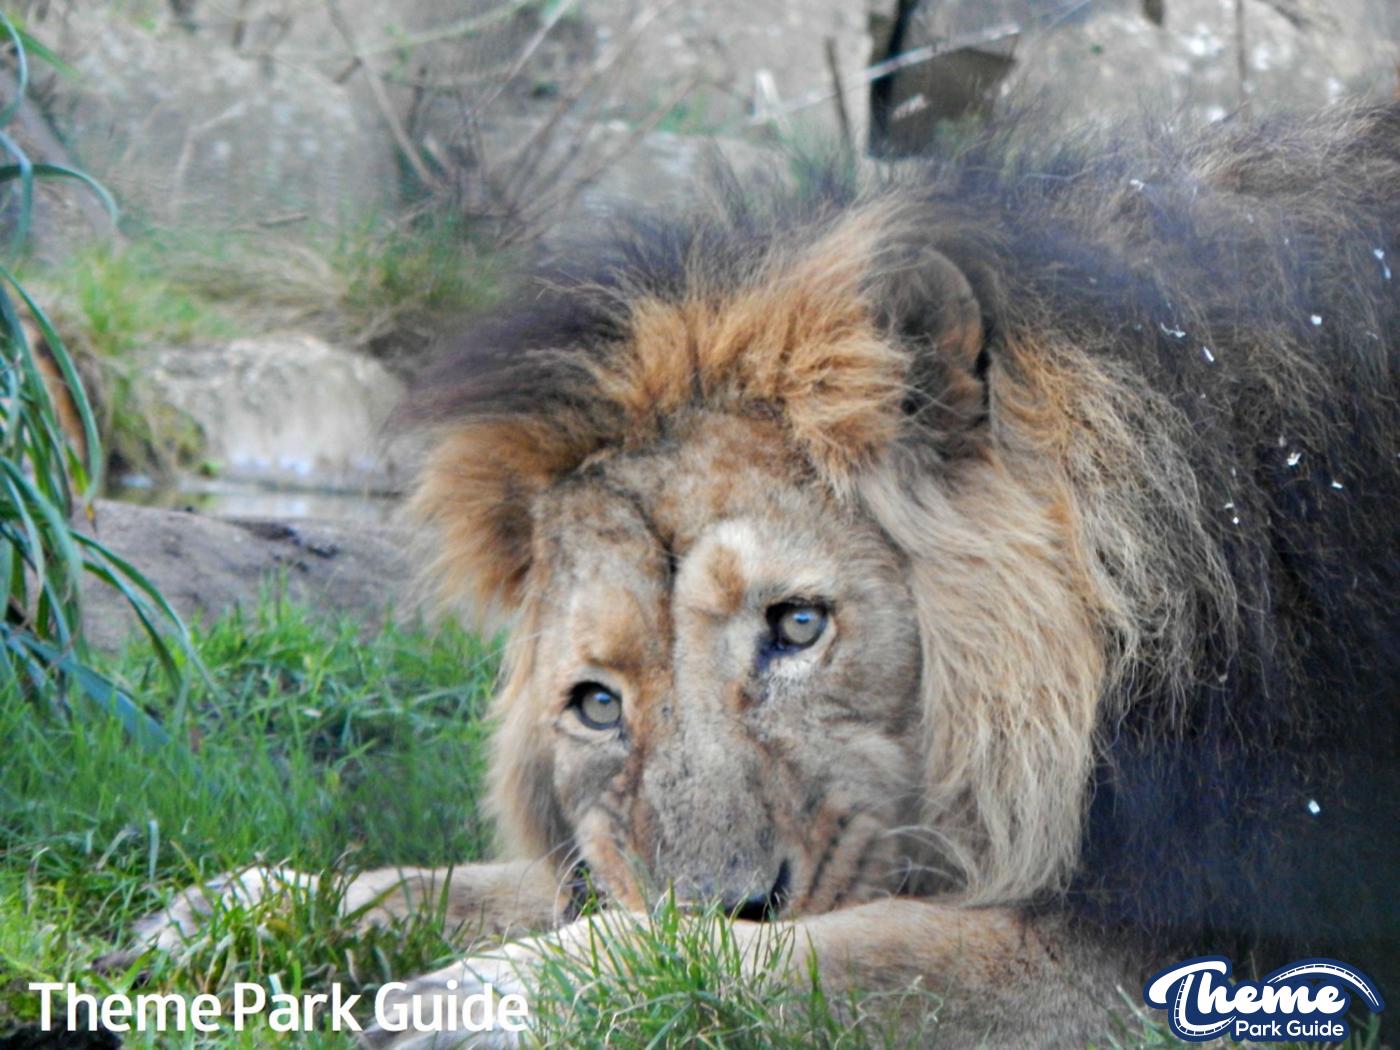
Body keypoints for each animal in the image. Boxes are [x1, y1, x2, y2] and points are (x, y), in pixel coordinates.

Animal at [111, 103, 1400, 1048]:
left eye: (795, 625)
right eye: (595, 703)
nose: (728, 896)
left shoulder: (1197, 947)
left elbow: (854, 954)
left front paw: (493, 995)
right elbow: (491, 880)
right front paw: (238, 908)